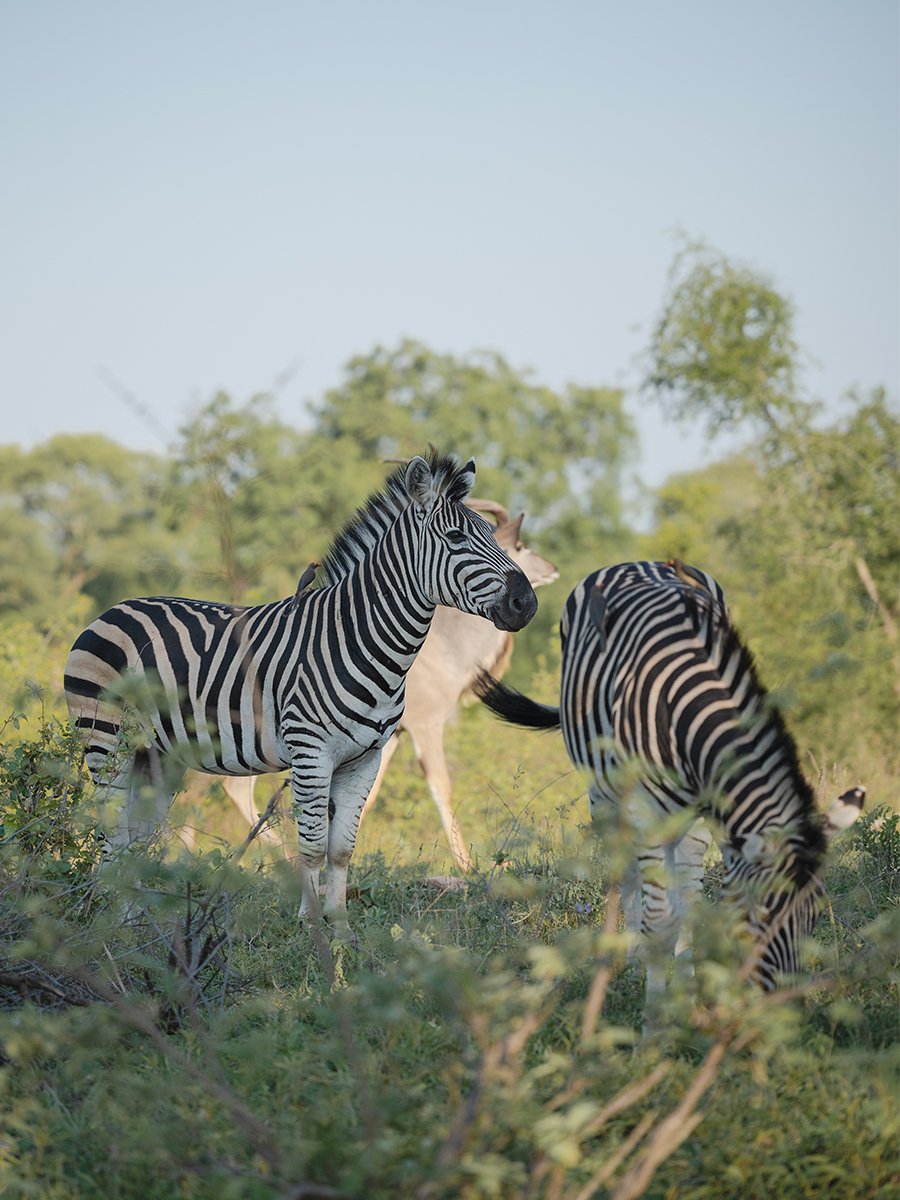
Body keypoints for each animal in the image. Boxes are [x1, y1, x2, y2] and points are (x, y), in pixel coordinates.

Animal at [68, 451, 542, 936]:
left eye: (493, 538)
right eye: (456, 537)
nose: (526, 603)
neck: (365, 641)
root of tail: (114, 608)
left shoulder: (365, 758)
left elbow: (342, 848)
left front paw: (342, 930)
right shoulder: (313, 753)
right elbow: (313, 846)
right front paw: (310, 928)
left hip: (158, 754)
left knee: (138, 835)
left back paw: (134, 924)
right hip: (106, 740)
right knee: (112, 828)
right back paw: (112, 923)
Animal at [480, 559, 868, 993]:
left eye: (815, 915)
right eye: (760, 915)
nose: (781, 1003)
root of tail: (634, 562)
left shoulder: (705, 810)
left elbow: (688, 901)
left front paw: (685, 986)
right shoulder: (646, 810)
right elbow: (659, 917)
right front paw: (656, 1003)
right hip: (606, 794)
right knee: (627, 874)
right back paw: (630, 962)